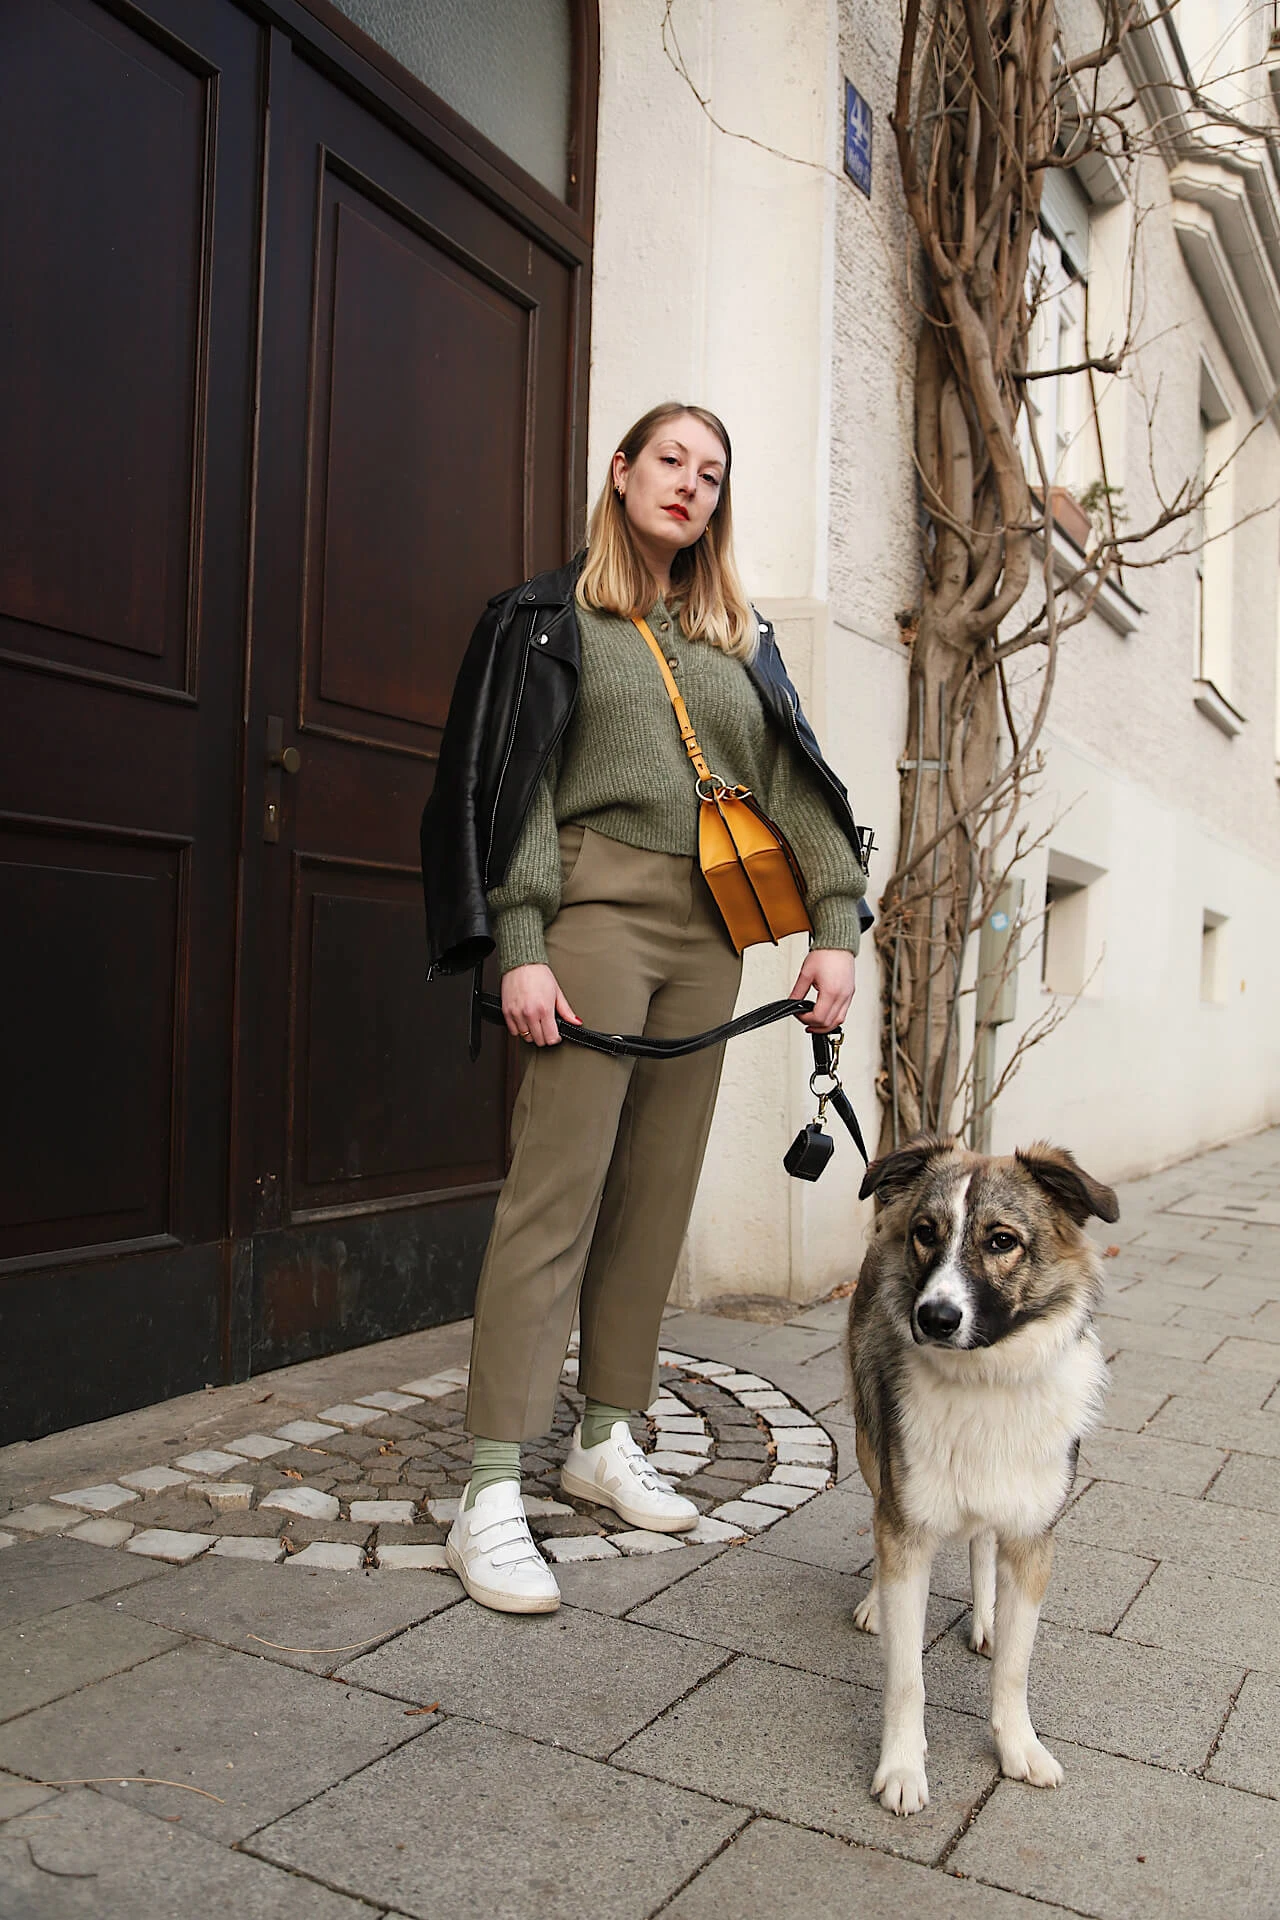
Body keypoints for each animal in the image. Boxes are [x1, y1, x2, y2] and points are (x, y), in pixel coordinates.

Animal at [852, 1136, 1120, 1812]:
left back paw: (988, 1619)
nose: (935, 1317)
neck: (987, 1381)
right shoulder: (907, 1528)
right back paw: (873, 1604)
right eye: (925, 1233)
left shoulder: (1032, 1537)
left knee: (979, 1544)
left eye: (1001, 1241)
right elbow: (905, 1678)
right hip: (871, 1452)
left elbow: (1015, 1670)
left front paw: (1018, 1747)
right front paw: (902, 1768)